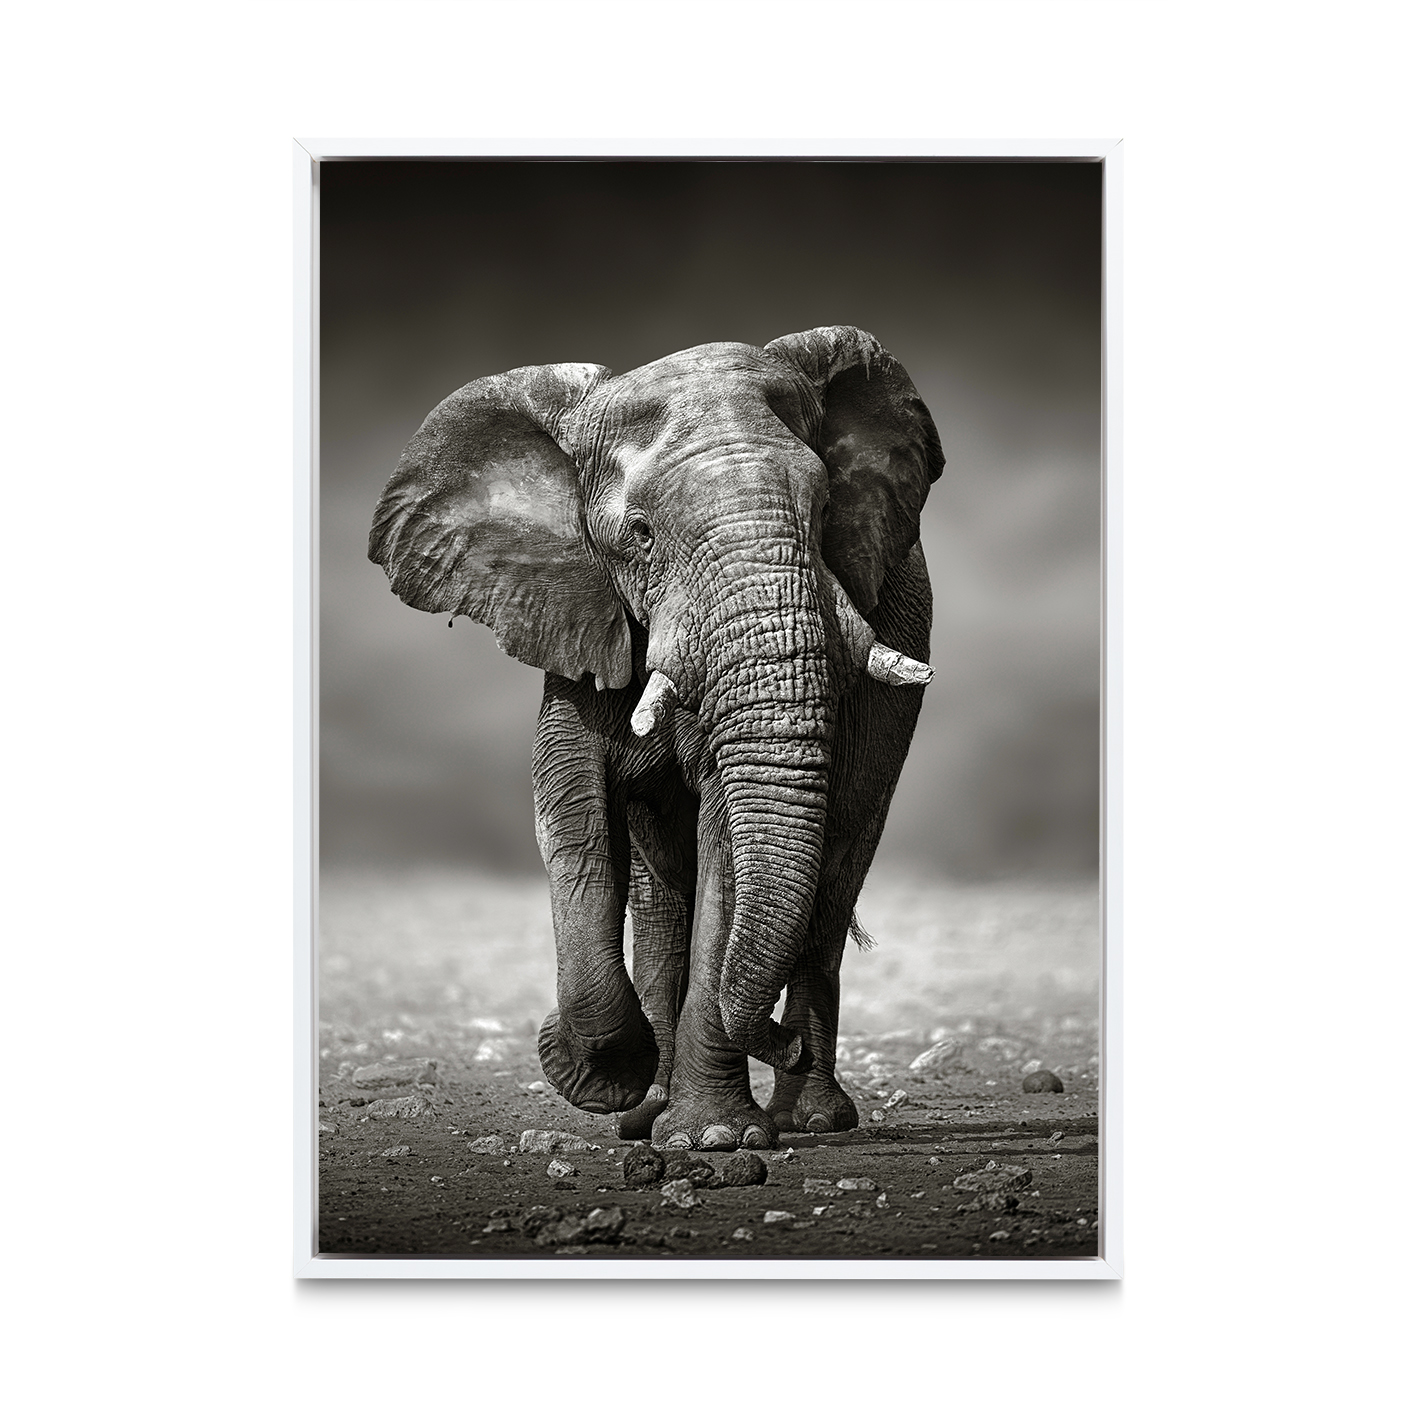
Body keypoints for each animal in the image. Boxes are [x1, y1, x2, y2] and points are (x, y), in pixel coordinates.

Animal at [369, 325, 942, 1152]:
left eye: (827, 506)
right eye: (639, 535)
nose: (778, 1042)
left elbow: (726, 838)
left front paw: (715, 1138)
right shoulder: (576, 613)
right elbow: (572, 815)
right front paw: (601, 1076)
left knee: (832, 876)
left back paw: (807, 1117)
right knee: (661, 895)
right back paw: (650, 1111)